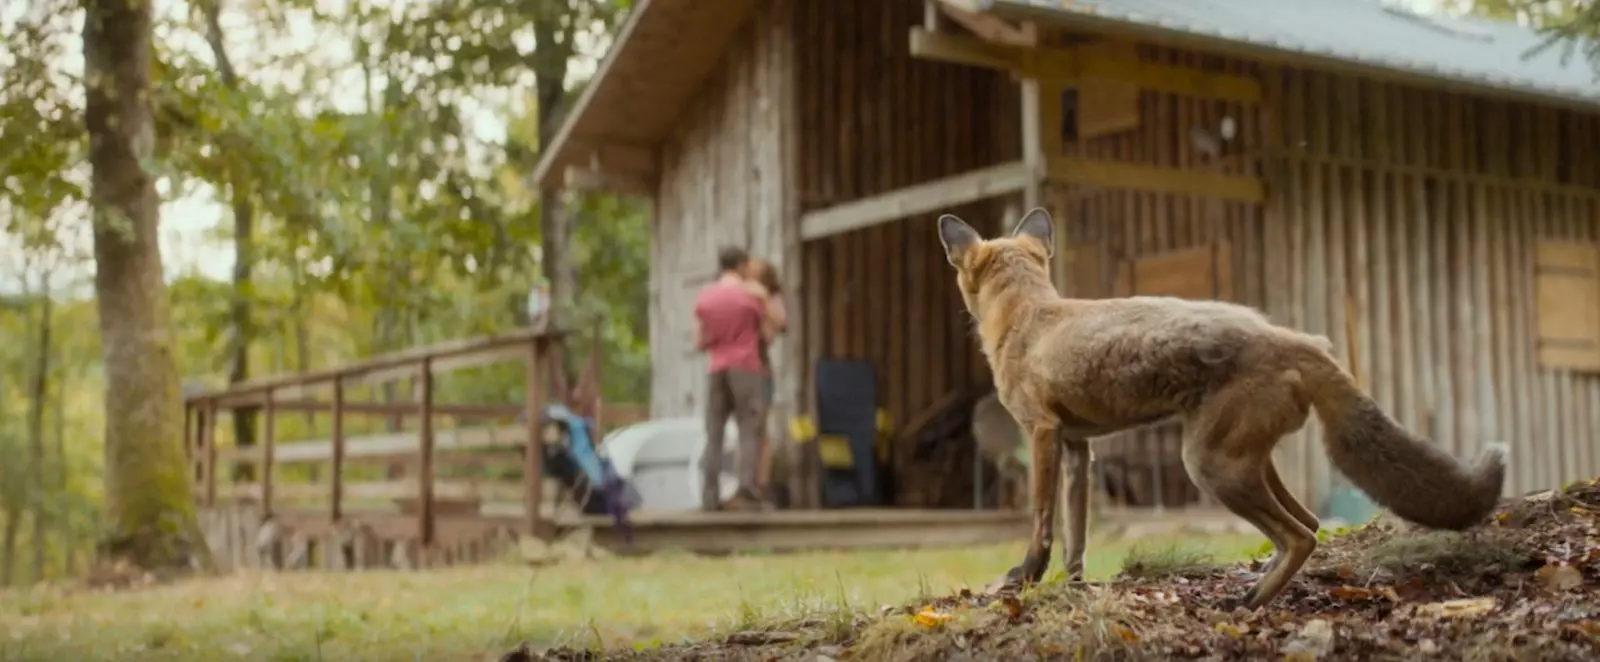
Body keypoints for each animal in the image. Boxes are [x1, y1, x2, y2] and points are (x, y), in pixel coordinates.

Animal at [934, 206, 1504, 610]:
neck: (1029, 318)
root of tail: (1297, 340)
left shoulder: (1042, 434)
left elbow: (1041, 522)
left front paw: (1026, 576)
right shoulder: (1078, 448)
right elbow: (1077, 534)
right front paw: (1071, 584)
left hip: (1209, 467)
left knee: (1300, 536)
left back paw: (1251, 601)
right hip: (1243, 464)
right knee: (1311, 523)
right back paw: (1260, 583)